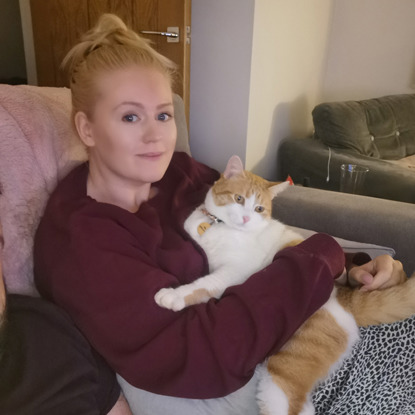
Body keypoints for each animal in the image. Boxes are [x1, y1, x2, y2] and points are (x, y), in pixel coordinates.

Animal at [155, 155, 415, 415]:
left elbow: (204, 284)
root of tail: (343, 297)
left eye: (259, 209)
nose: (247, 218)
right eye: (239, 199)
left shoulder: (236, 270)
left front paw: (173, 295)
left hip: (283, 374)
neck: (219, 226)